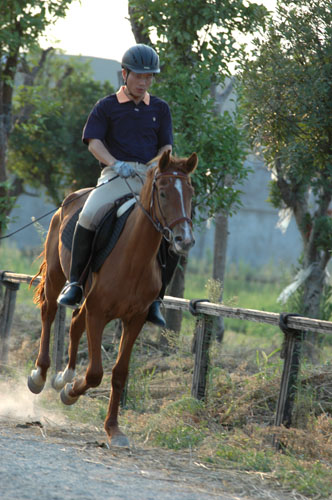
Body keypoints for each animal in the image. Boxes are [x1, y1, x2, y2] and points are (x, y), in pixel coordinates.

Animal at [27, 150, 197, 448]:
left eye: (191, 193)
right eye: (163, 193)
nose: (183, 240)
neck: (135, 257)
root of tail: (71, 199)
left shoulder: (135, 319)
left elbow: (119, 373)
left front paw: (114, 429)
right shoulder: (98, 313)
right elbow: (95, 373)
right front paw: (70, 394)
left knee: (75, 323)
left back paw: (64, 377)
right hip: (57, 276)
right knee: (49, 313)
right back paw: (41, 375)